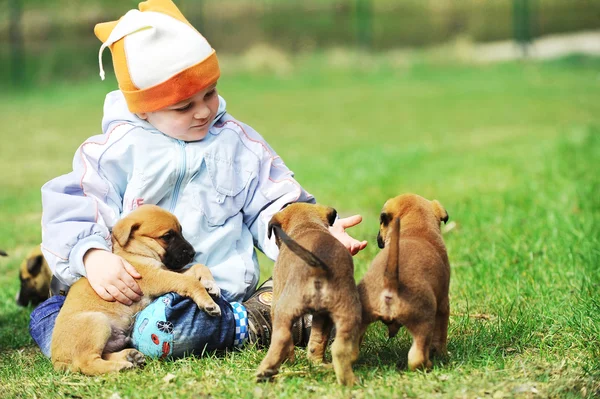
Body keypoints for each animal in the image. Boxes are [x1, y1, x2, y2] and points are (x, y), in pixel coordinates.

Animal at [51, 205, 220, 376]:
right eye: (167, 236)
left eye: (180, 231)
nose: (193, 253)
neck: (135, 252)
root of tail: (57, 360)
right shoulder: (158, 277)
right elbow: (190, 281)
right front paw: (208, 302)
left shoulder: (166, 271)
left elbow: (198, 267)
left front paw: (210, 285)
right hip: (97, 321)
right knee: (85, 363)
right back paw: (120, 366)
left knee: (102, 355)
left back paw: (129, 356)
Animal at [254, 205, 360, 386]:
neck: (307, 224)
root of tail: (319, 266)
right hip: (345, 315)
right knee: (335, 348)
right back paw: (344, 379)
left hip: (284, 310)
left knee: (282, 338)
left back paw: (266, 371)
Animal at [356, 194, 450, 372]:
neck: (417, 229)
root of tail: (390, 281)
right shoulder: (443, 304)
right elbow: (441, 335)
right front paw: (442, 354)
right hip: (423, 323)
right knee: (416, 357)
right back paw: (428, 364)